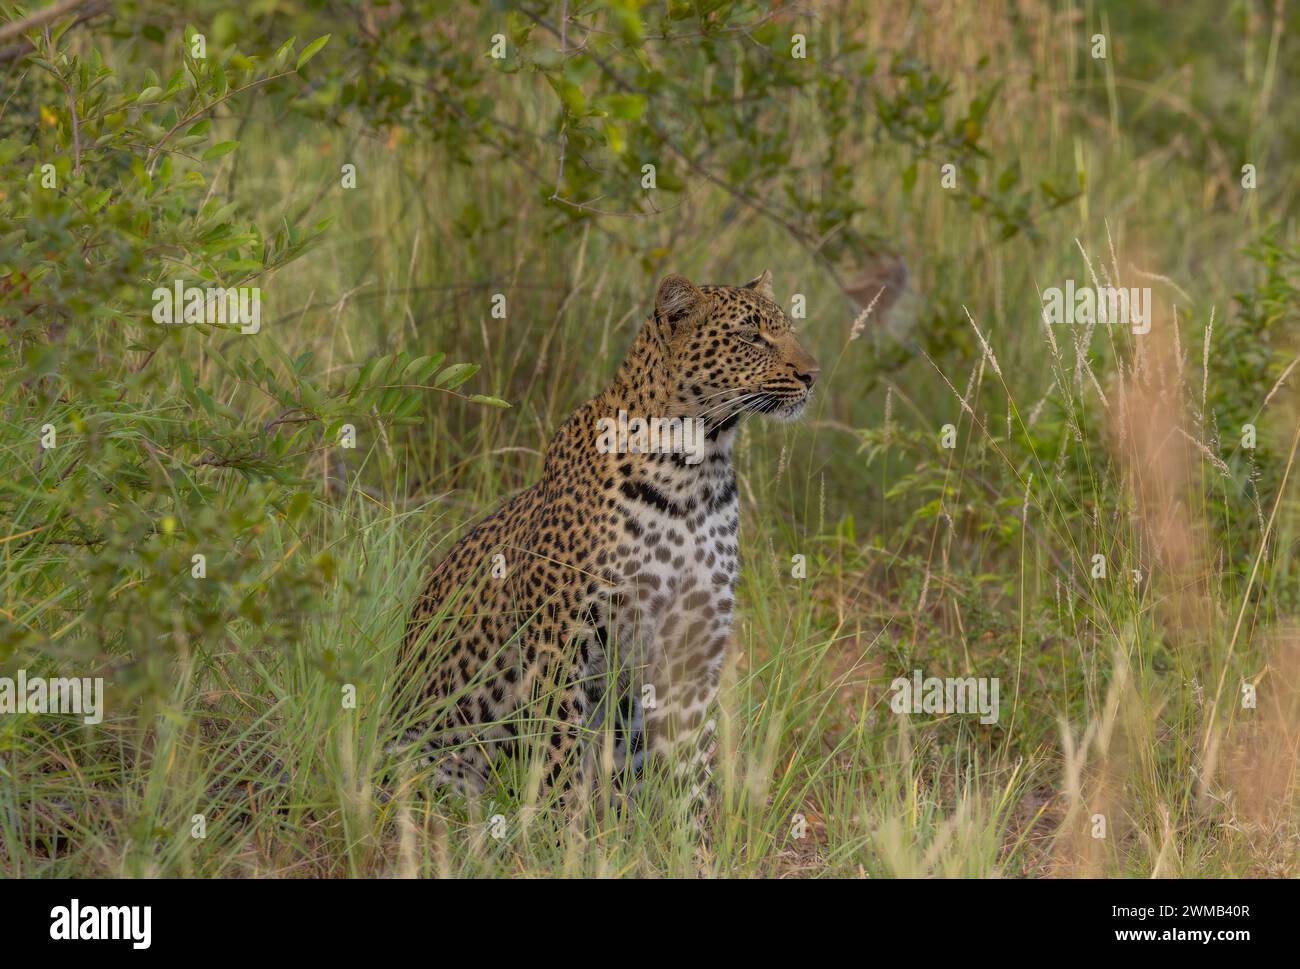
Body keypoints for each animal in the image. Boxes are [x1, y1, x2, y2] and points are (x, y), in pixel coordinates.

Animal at [395, 270, 818, 811]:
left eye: (788, 329)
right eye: (750, 336)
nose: (813, 374)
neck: (696, 471)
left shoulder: (696, 639)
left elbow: (693, 758)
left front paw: (695, 828)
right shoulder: (560, 638)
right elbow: (559, 748)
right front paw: (556, 825)